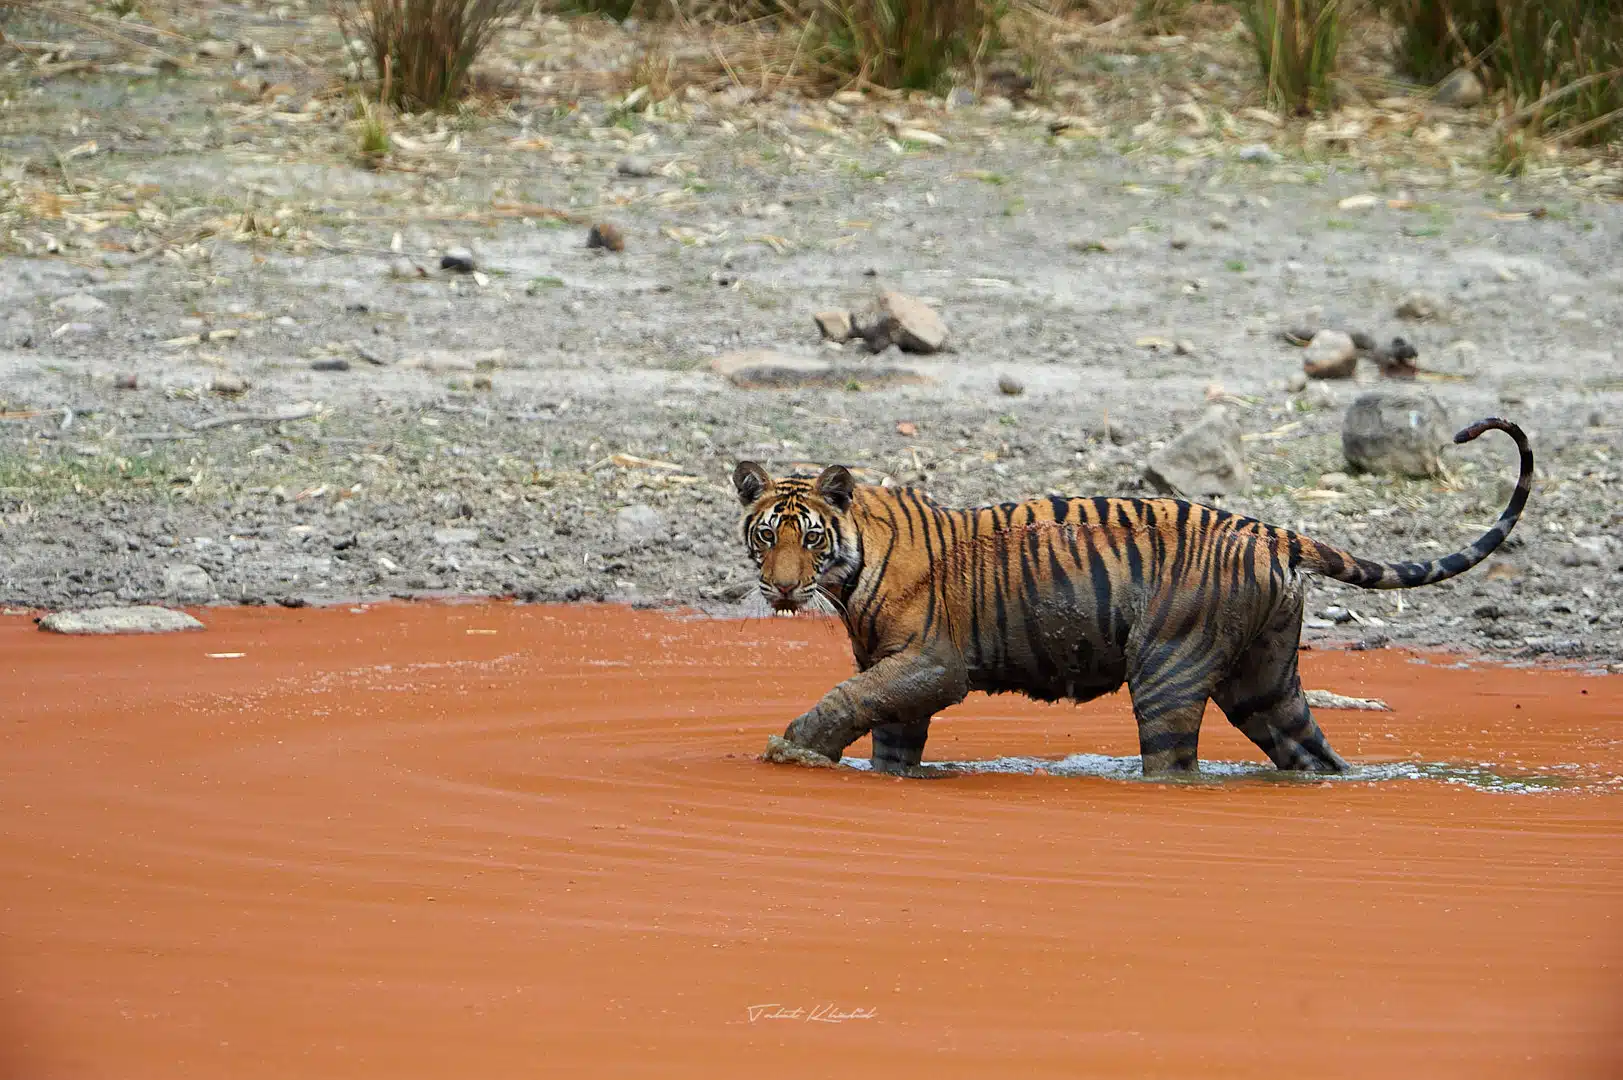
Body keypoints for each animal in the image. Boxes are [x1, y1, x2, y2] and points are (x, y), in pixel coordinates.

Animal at [733, 417, 1533, 778]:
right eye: (767, 534)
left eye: (809, 538)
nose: (781, 585)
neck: (849, 571)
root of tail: (1271, 529)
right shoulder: (900, 673)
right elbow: (886, 731)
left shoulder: (932, 662)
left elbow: (850, 697)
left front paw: (793, 747)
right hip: (1265, 679)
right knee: (1309, 749)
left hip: (1168, 670)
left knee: (1174, 762)